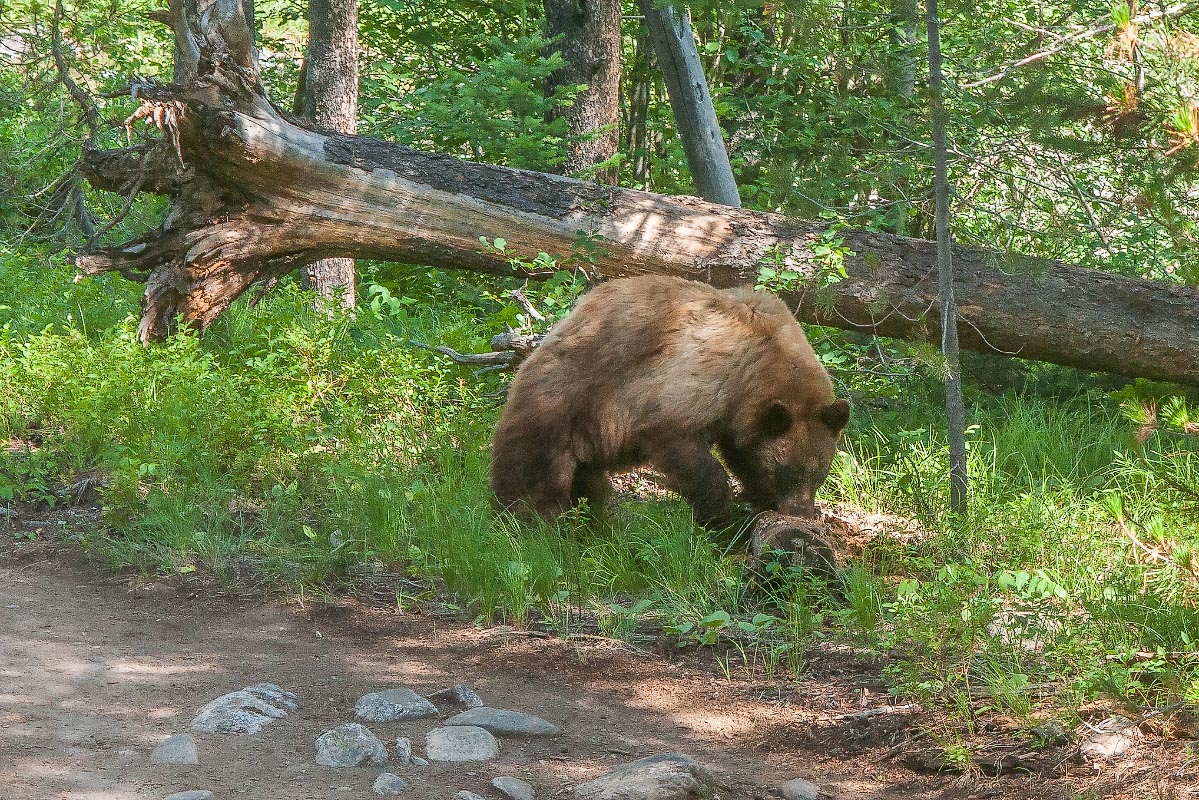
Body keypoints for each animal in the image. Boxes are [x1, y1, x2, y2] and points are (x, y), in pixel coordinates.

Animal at [489, 272, 853, 527]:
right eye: (786, 471)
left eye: (820, 472)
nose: (800, 513)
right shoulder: (693, 382)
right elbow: (682, 445)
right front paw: (719, 516)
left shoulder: (740, 417)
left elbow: (744, 453)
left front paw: (757, 500)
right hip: (567, 396)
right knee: (535, 463)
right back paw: (527, 517)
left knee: (586, 478)